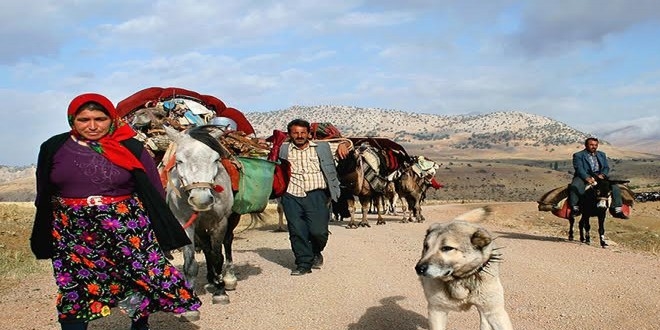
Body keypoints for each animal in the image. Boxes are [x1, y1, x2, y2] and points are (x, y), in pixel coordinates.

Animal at [164, 124, 241, 304]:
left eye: (216, 159)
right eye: (179, 161)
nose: (201, 199)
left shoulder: (220, 223)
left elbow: (218, 256)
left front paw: (221, 292)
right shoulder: (185, 224)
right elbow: (190, 263)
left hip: (232, 219)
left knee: (227, 242)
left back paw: (228, 278)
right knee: (206, 248)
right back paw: (211, 278)